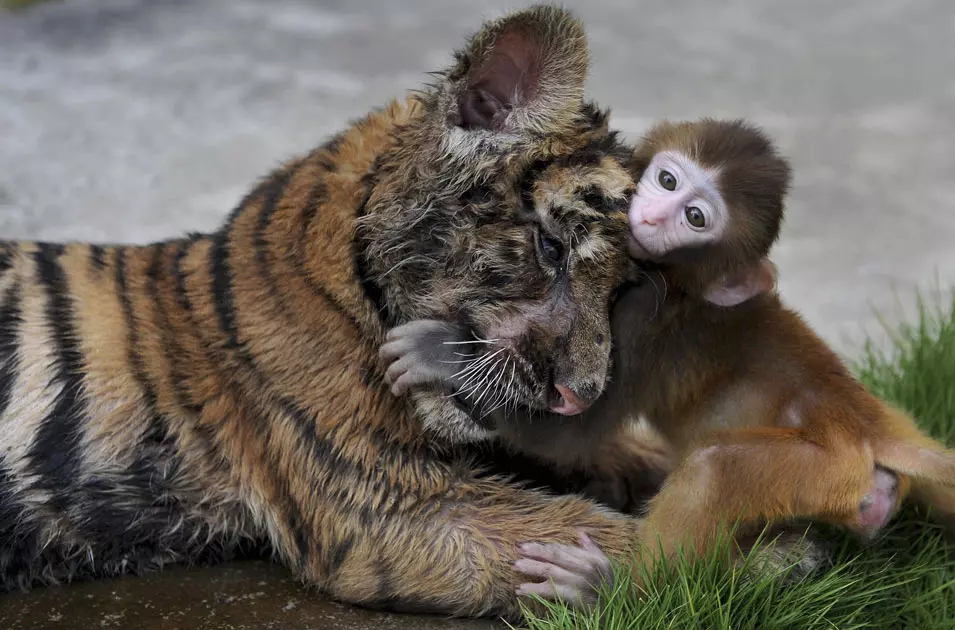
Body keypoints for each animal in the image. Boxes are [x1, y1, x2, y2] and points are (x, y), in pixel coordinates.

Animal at [380, 118, 955, 608]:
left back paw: (612, 588)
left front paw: (443, 354)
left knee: (713, 467)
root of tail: (869, 420)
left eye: (695, 218)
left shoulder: (642, 318)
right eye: (667, 179)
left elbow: (571, 429)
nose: (654, 215)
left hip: (825, 467)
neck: (678, 284)